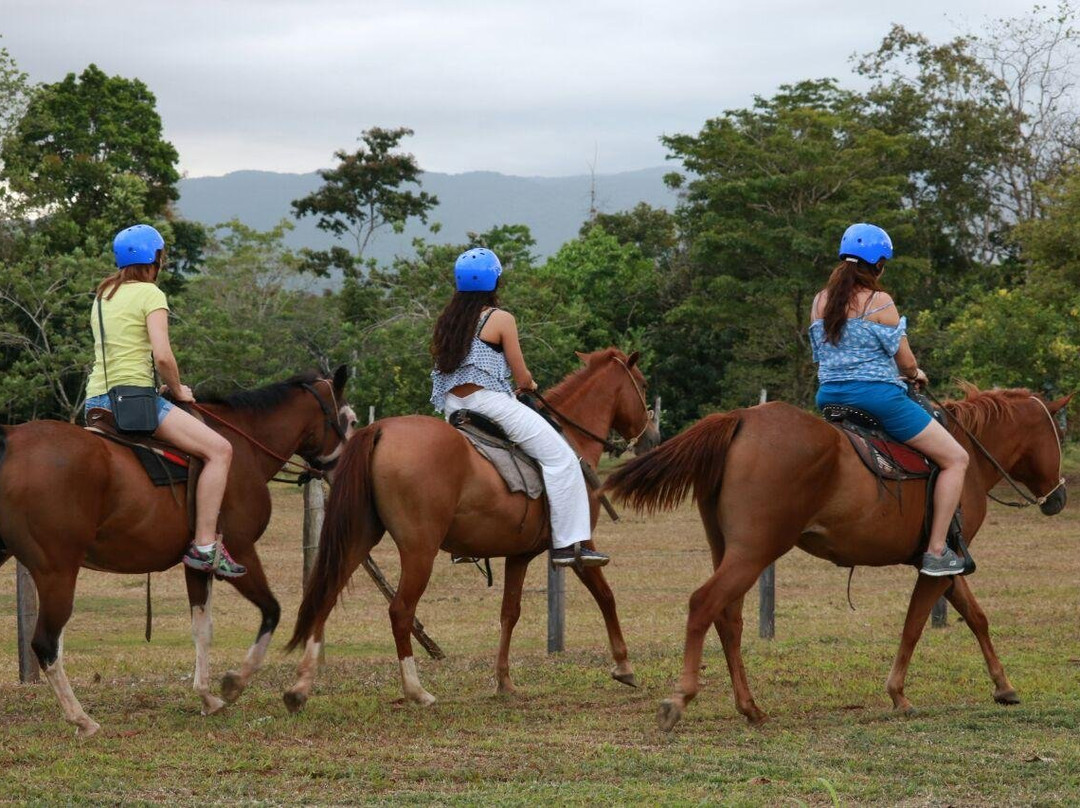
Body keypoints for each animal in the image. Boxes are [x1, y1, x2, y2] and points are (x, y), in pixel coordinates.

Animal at [0, 367, 354, 738]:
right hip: (57, 572)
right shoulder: (241, 549)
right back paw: (81, 719)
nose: (345, 469)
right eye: (352, 420)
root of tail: (12, 437)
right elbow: (272, 611)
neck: (244, 446)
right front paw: (235, 683)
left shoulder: (196, 565)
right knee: (46, 643)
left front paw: (207, 697)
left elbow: (203, 628)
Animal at [282, 347, 656, 712]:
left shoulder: (519, 555)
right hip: (419, 550)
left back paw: (300, 688)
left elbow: (509, 613)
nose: (651, 438)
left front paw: (504, 682)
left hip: (359, 539)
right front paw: (624, 666)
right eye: (642, 384)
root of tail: (381, 430)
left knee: (325, 599)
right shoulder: (578, 545)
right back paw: (416, 690)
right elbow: (606, 596)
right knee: (400, 611)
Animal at [604, 386, 1067, 730]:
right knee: (704, 604)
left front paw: (1003, 686)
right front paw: (898, 694)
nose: (1059, 497)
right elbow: (914, 625)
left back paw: (750, 707)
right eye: (1058, 436)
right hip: (754, 552)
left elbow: (976, 617)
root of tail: (742, 419)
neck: (965, 457)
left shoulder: (950, 568)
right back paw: (681, 698)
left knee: (728, 618)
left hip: (731, 552)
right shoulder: (937, 566)